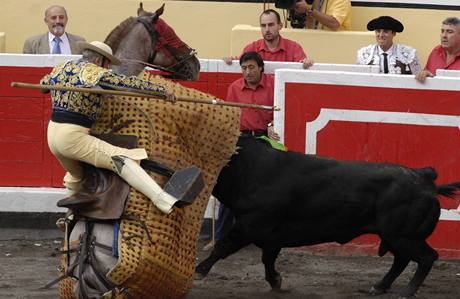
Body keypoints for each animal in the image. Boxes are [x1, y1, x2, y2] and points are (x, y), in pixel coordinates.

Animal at [195, 137, 460, 298]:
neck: (249, 167)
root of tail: (424, 177)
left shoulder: (251, 224)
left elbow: (223, 247)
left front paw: (199, 272)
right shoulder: (270, 235)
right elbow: (267, 259)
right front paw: (276, 282)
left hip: (403, 235)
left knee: (426, 257)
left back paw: (407, 291)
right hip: (394, 236)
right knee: (402, 259)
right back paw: (379, 287)